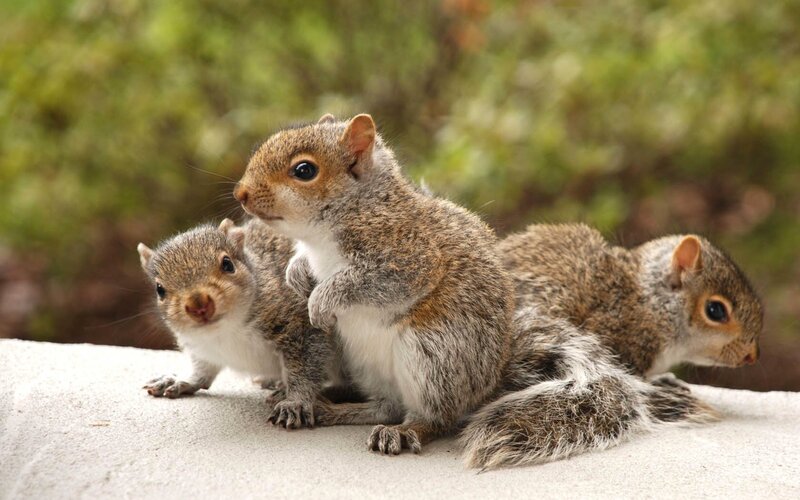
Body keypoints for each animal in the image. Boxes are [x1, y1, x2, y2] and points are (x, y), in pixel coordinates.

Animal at [137, 218, 336, 428]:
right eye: (160, 289)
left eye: (227, 264)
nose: (198, 305)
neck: (225, 330)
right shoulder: (202, 348)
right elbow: (202, 369)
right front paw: (182, 379)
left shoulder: (299, 323)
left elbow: (305, 367)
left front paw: (294, 401)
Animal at [233, 113, 514, 455]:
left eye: (304, 171)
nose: (241, 194)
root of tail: (482, 390)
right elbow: (300, 261)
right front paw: (296, 274)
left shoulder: (409, 257)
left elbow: (367, 282)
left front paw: (320, 301)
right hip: (362, 361)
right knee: (386, 407)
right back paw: (334, 409)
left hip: (433, 356)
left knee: (435, 418)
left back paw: (406, 430)